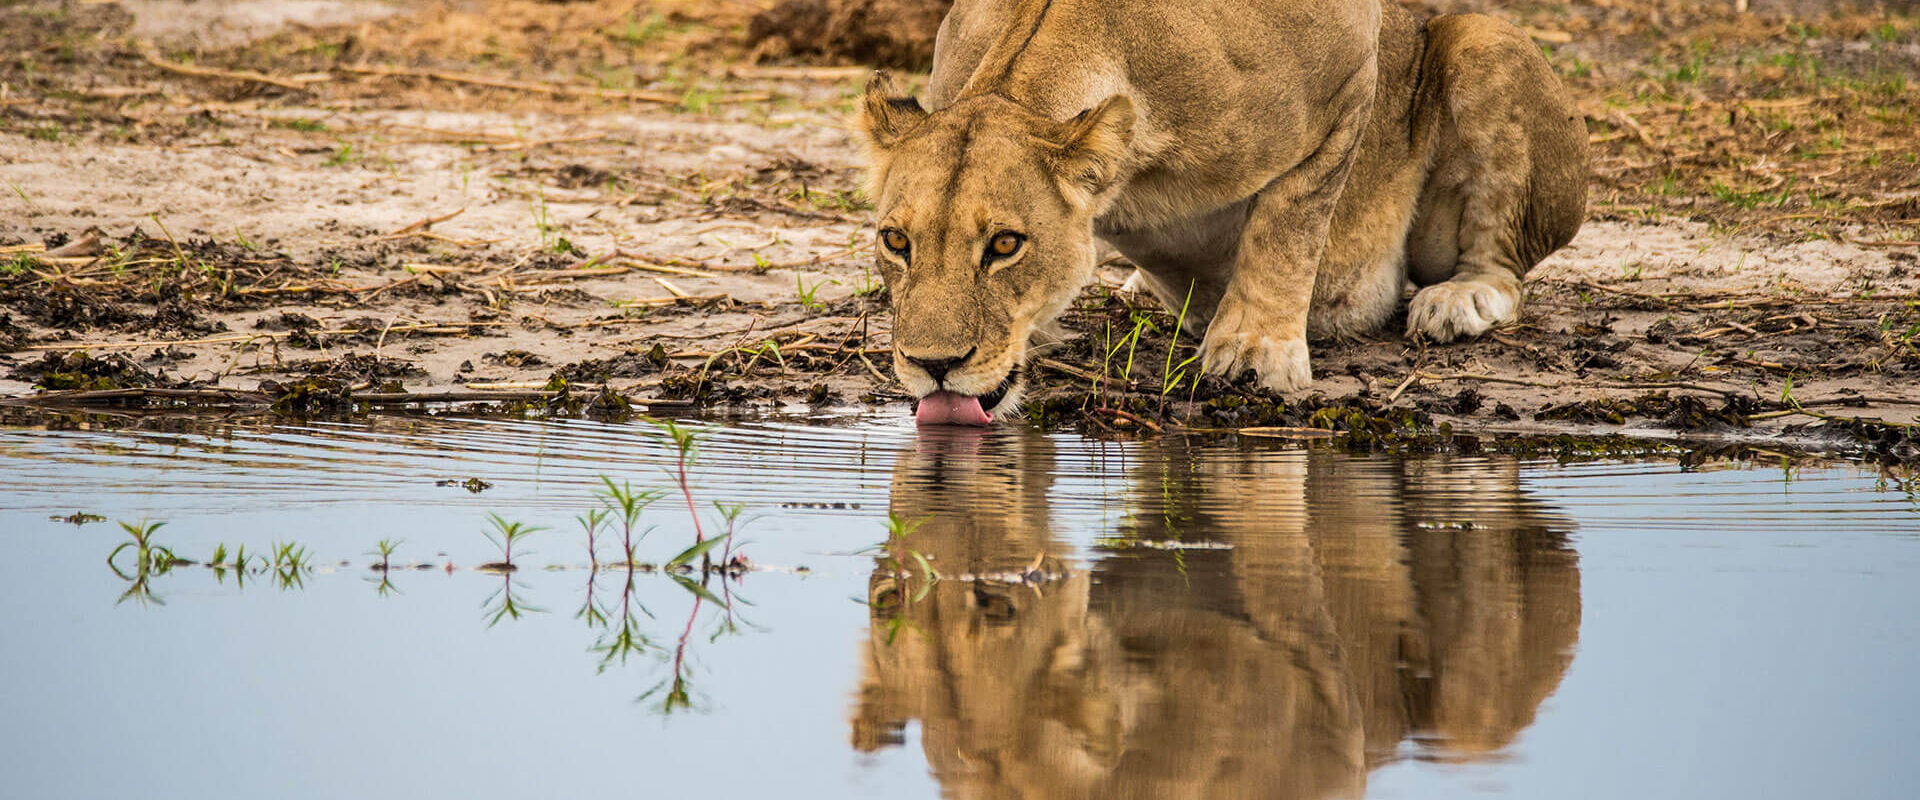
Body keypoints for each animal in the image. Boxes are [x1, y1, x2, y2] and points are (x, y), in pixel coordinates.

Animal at [855, 0, 1589, 425]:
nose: (934, 365)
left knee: (1500, 264)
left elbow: (1289, 224)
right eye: (897, 242)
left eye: (1005, 245)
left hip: (1483, 38)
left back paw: (1458, 300)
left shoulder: (1350, 72)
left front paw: (1256, 356)